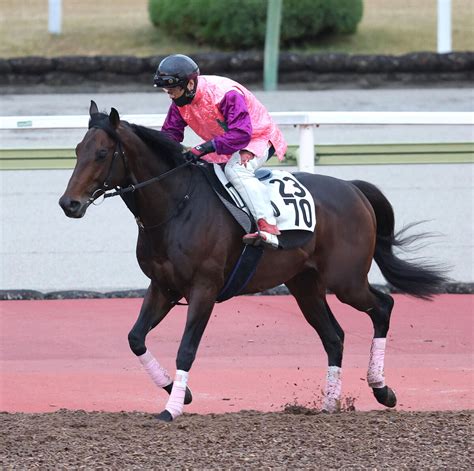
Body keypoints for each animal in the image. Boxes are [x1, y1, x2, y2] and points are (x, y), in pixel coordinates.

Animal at [59, 101, 448, 422]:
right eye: (78, 150)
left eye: (102, 152)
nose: (69, 203)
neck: (177, 205)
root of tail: (353, 189)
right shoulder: (164, 286)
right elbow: (135, 338)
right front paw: (179, 393)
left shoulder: (204, 288)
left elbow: (186, 350)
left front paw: (172, 408)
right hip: (305, 284)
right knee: (334, 336)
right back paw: (330, 403)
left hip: (346, 280)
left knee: (382, 307)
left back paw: (382, 389)